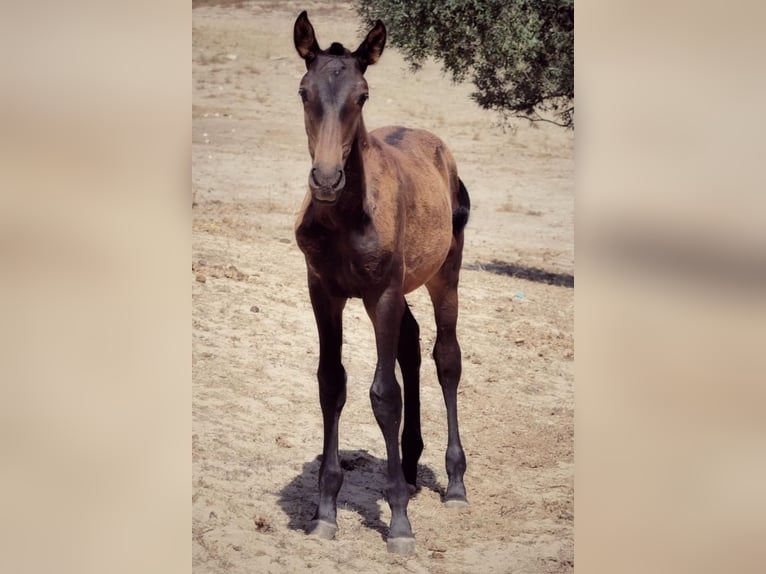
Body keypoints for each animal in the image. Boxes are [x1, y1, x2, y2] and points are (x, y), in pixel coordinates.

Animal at [294, 11, 474, 556]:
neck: (347, 218)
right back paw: (411, 466)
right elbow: (331, 383)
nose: (325, 180)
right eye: (304, 91)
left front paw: (398, 523)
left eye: (363, 95)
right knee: (412, 344)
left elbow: (384, 395)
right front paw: (325, 512)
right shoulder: (323, 291)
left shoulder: (383, 294)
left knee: (445, 357)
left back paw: (454, 483)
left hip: (443, 274)